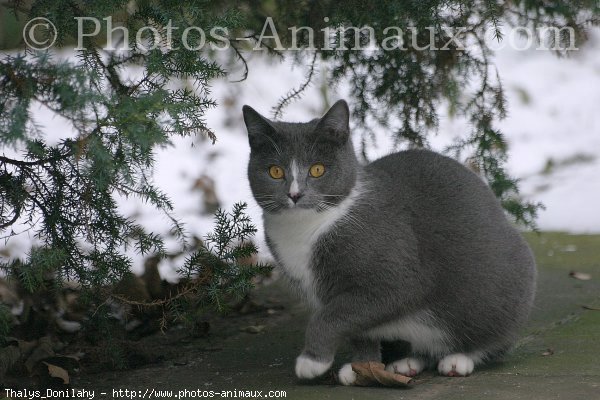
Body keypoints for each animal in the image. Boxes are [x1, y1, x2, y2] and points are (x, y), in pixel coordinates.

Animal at [241, 99, 536, 384]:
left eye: (317, 169)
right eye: (275, 171)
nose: (295, 195)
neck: (307, 228)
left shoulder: (397, 277)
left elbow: (332, 316)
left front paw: (312, 362)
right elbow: (358, 326)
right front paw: (363, 367)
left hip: (501, 288)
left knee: (493, 336)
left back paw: (459, 358)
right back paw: (408, 362)